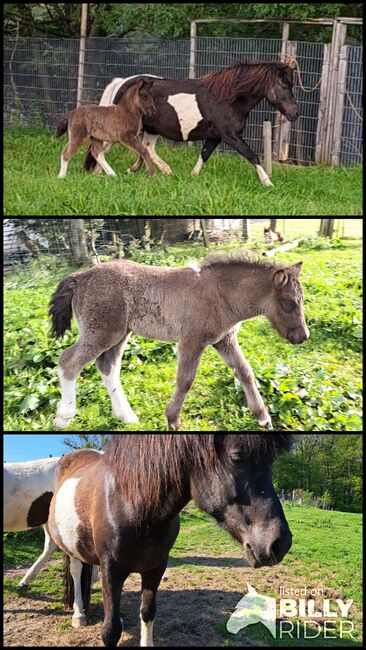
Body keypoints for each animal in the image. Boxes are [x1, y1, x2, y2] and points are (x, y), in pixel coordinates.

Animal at [48, 432, 294, 644]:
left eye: (270, 462)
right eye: (236, 457)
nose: (279, 543)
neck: (133, 505)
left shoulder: (156, 568)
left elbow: (147, 613)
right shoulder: (112, 569)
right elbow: (110, 631)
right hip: (71, 550)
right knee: (77, 573)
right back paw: (79, 615)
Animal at [84, 60, 298, 185]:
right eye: (283, 84)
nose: (295, 113)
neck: (228, 98)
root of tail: (121, 82)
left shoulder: (216, 137)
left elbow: (204, 155)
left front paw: (192, 177)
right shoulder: (230, 135)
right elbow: (252, 155)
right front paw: (267, 182)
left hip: (151, 129)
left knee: (146, 149)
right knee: (101, 148)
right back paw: (105, 173)